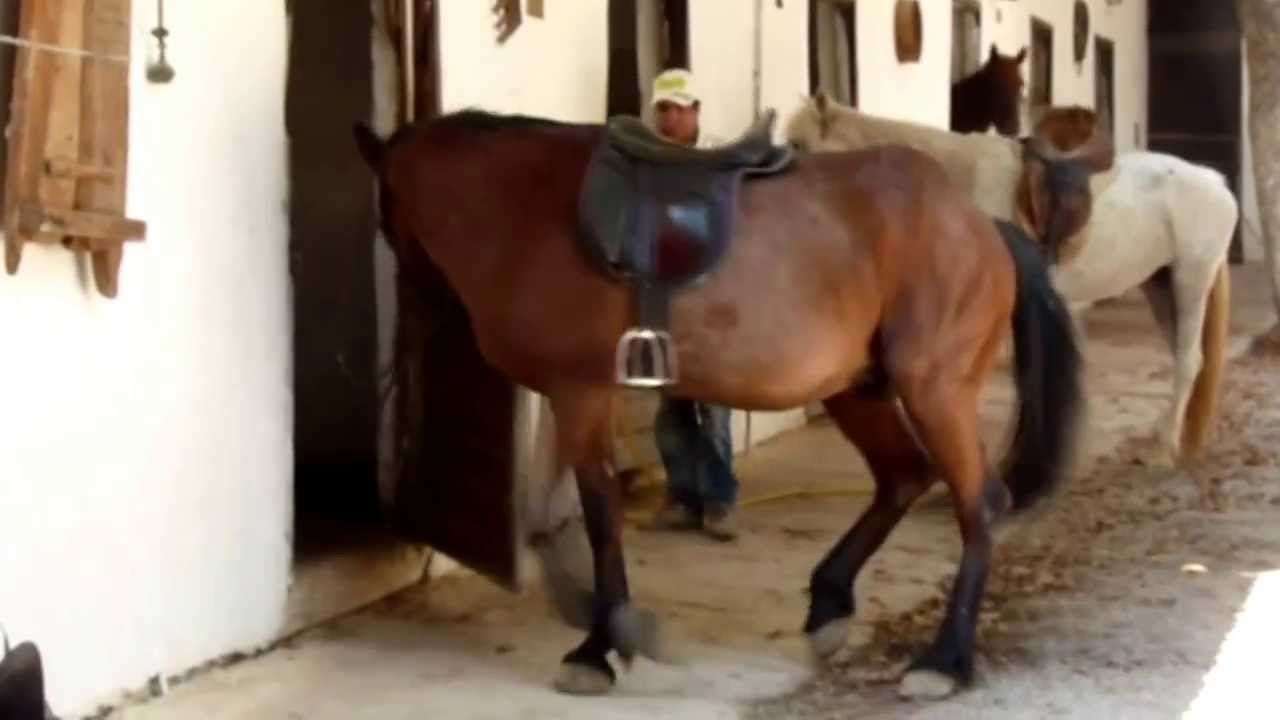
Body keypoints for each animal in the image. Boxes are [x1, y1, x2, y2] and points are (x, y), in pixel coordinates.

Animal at [352, 108, 1084, 701]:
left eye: (386, 215)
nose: (416, 314)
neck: (526, 205)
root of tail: (982, 227)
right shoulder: (565, 392)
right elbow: (542, 520)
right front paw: (589, 614)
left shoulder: (581, 392)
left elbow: (599, 515)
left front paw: (603, 642)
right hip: (856, 387)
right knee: (903, 475)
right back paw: (829, 605)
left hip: (934, 387)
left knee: (978, 502)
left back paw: (943, 660)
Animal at [787, 92, 1237, 467]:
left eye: (799, 146)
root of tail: (1214, 182)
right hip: (1162, 287)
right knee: (1184, 357)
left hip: (1191, 279)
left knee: (1190, 361)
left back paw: (1163, 449)